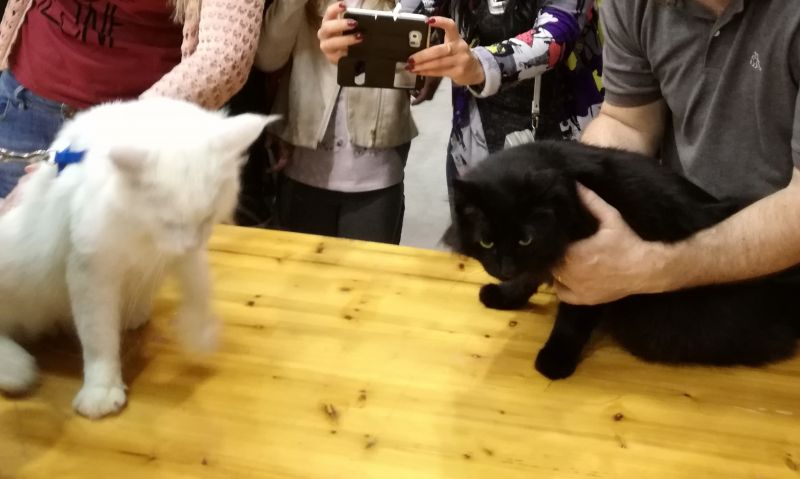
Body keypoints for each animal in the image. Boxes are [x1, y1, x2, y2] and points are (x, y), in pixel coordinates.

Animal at [0, 97, 277, 419]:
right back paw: (17, 369)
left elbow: (200, 289)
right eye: (169, 222)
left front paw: (201, 334)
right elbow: (99, 338)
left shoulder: (182, 256)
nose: (190, 242)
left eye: (206, 218)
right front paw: (102, 392)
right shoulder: (92, 270)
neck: (140, 228)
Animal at [444, 140, 800, 380]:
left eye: (524, 239)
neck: (567, 199)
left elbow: (571, 320)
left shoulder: (591, 275)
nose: (504, 269)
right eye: (487, 241)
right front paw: (503, 295)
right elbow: (527, 279)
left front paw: (555, 360)